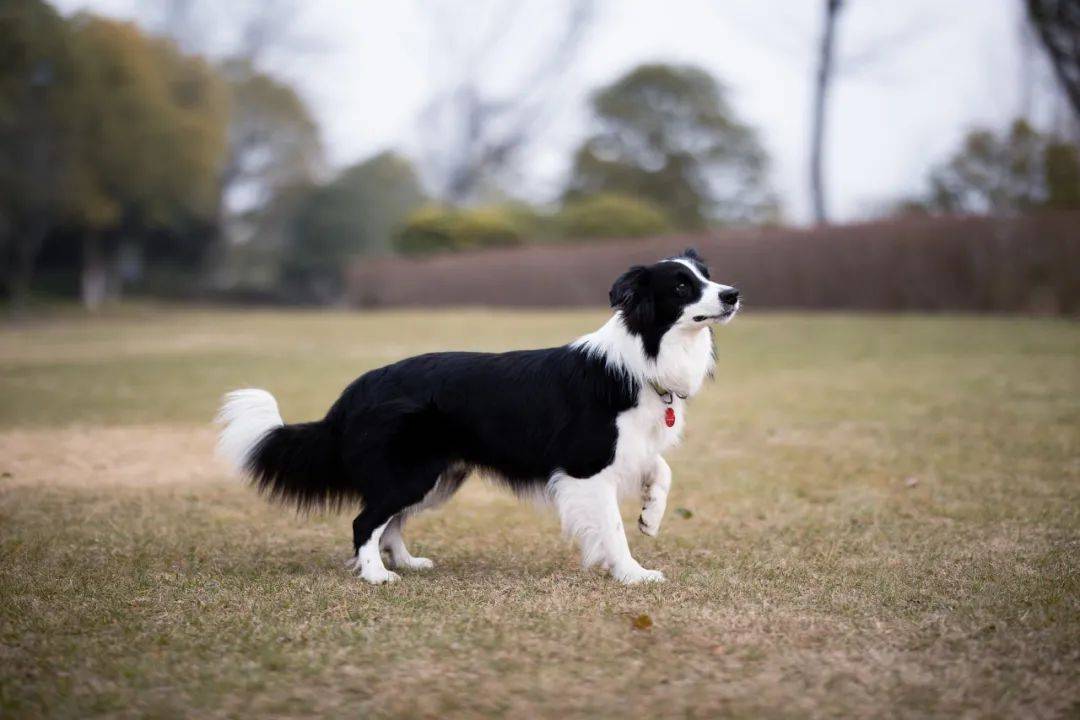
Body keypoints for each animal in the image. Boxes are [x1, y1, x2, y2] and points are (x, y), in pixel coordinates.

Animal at [219, 249, 743, 587]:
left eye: (708, 276)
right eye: (681, 286)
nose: (734, 294)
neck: (643, 354)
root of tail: (355, 390)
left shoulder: (631, 445)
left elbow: (662, 467)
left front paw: (651, 516)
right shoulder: (586, 466)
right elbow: (611, 529)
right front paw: (633, 574)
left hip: (436, 478)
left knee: (392, 521)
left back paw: (405, 562)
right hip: (412, 472)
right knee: (365, 520)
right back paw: (376, 575)